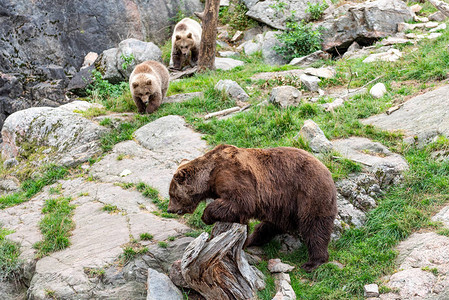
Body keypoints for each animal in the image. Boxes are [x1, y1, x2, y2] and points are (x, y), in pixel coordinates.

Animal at [168, 144, 336, 270]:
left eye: (172, 195)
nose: (170, 209)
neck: (210, 176)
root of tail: (328, 171)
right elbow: (239, 215)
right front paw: (242, 241)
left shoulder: (234, 175)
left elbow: (239, 201)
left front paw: (206, 216)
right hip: (283, 207)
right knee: (269, 226)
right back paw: (253, 240)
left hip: (309, 194)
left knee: (315, 226)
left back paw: (313, 262)